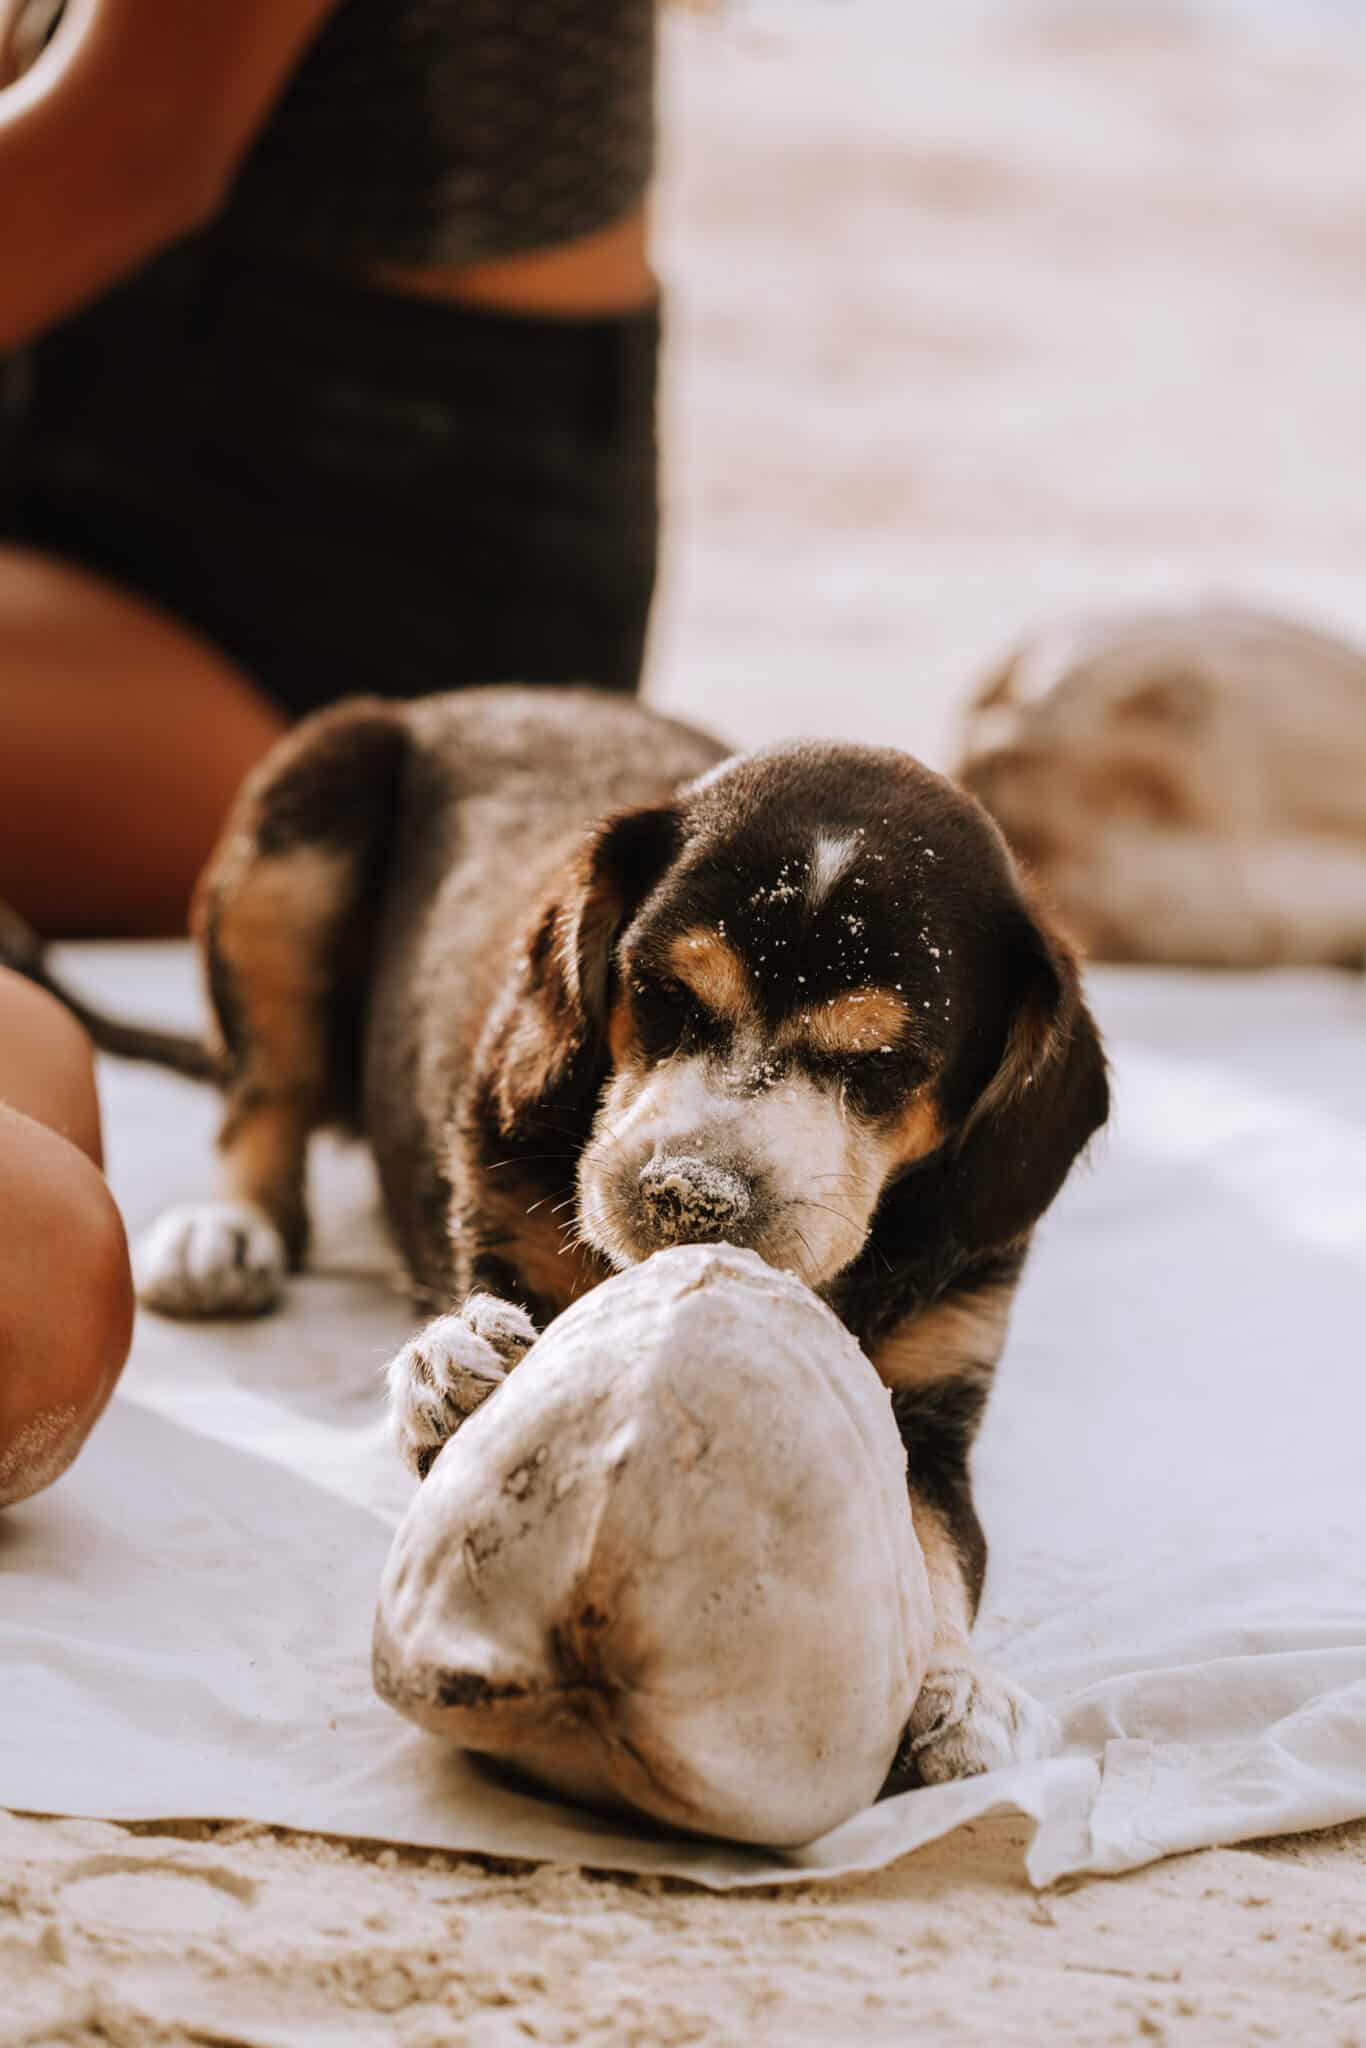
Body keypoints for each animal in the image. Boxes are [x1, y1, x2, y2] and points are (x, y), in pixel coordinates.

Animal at [133, 684, 1105, 1777]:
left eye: (883, 1063)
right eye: (661, 994)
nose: (691, 1195)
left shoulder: (933, 1422)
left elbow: (936, 1558)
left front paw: (960, 1692)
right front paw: (450, 1364)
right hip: (308, 806)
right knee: (262, 1094)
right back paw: (226, 1231)